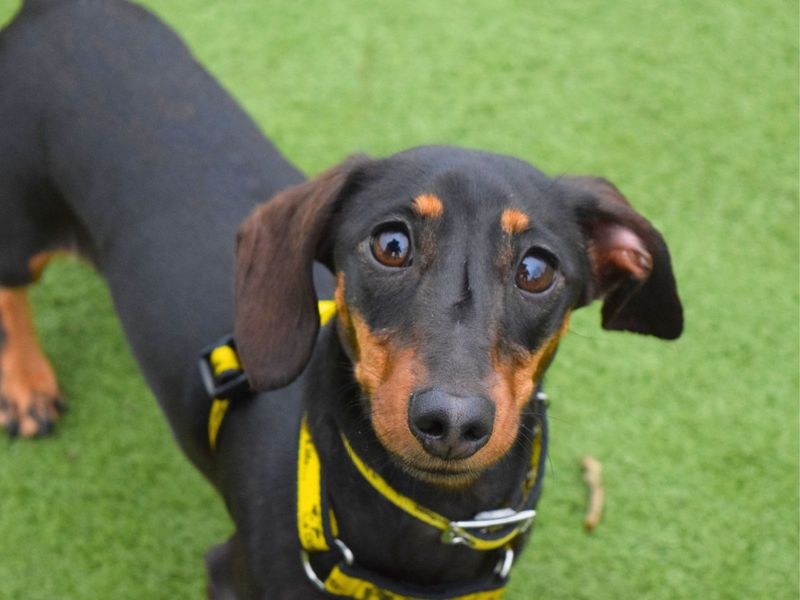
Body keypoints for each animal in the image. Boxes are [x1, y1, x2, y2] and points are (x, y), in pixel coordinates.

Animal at [0, 1, 680, 600]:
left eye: (537, 270)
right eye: (391, 244)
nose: (452, 422)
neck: (425, 516)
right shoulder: (233, 574)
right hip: (20, 220)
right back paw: (27, 386)